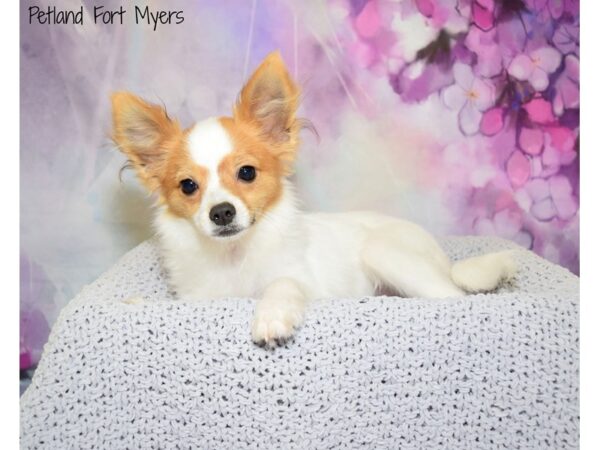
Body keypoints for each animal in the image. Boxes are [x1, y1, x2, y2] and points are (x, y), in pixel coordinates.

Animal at [109, 51, 516, 346]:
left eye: (247, 173)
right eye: (188, 186)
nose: (221, 212)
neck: (234, 257)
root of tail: (442, 257)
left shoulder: (302, 281)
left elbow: (282, 285)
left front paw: (271, 316)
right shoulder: (199, 299)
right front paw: (138, 303)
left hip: (385, 253)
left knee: (453, 298)